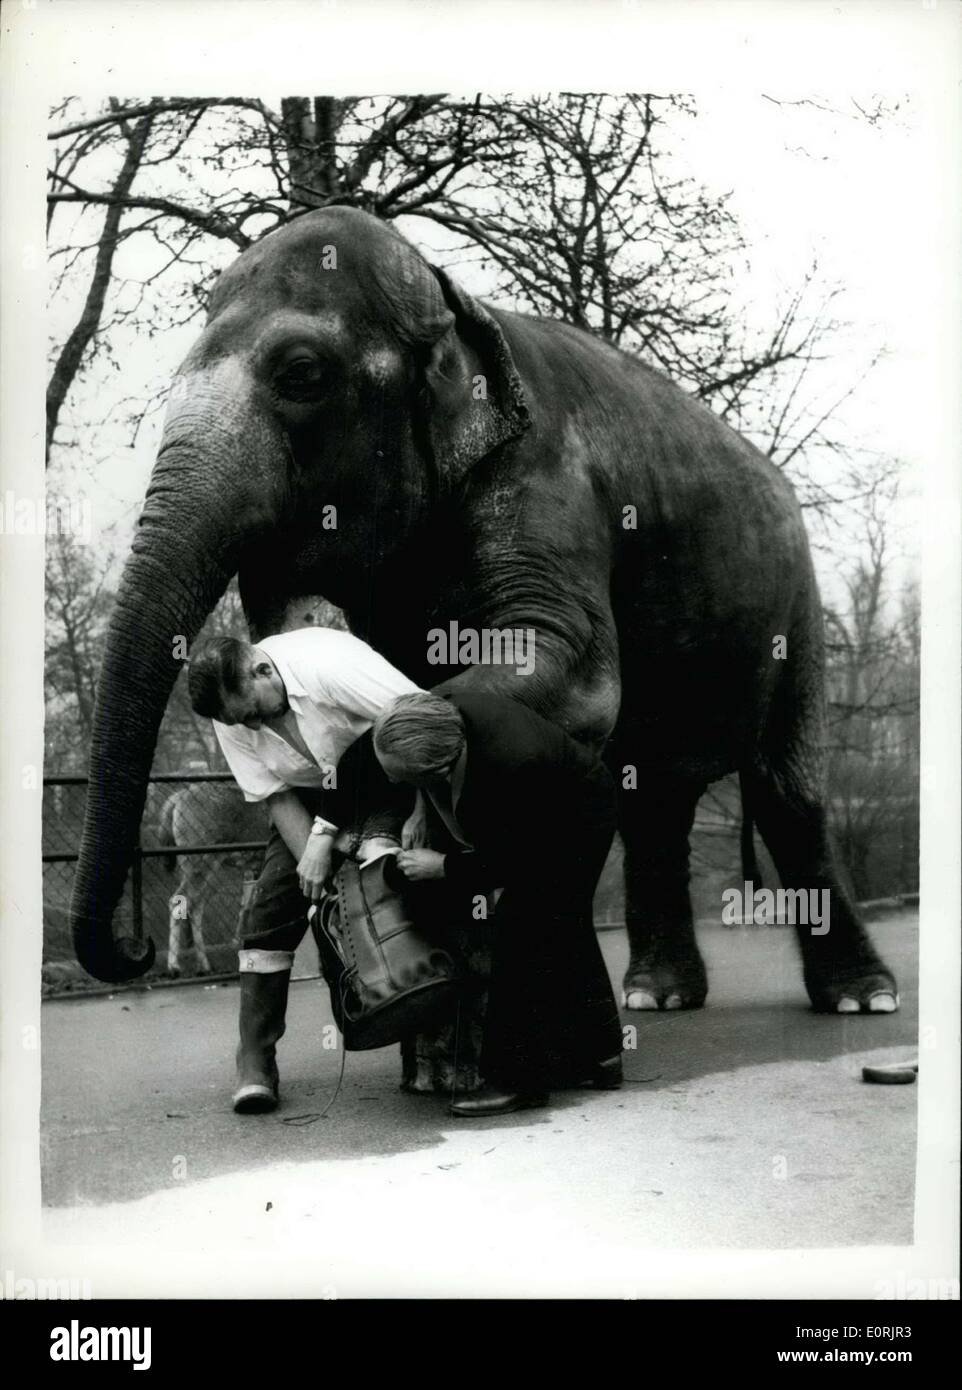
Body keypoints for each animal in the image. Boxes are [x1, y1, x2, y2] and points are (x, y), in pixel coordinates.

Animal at [71, 208, 900, 1034]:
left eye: (300, 374)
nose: (134, 953)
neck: (458, 303)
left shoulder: (547, 477)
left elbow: (571, 670)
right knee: (653, 802)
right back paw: (657, 996)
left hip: (797, 607)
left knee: (786, 790)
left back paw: (861, 998)